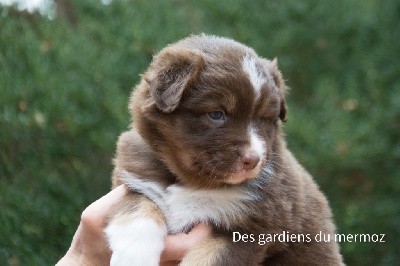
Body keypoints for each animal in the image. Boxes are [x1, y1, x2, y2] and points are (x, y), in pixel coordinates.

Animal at [104, 35, 344, 266]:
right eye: (216, 114)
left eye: (264, 118)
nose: (253, 159)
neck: (194, 182)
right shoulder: (136, 181)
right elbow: (137, 210)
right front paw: (133, 257)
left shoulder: (251, 229)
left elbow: (209, 259)